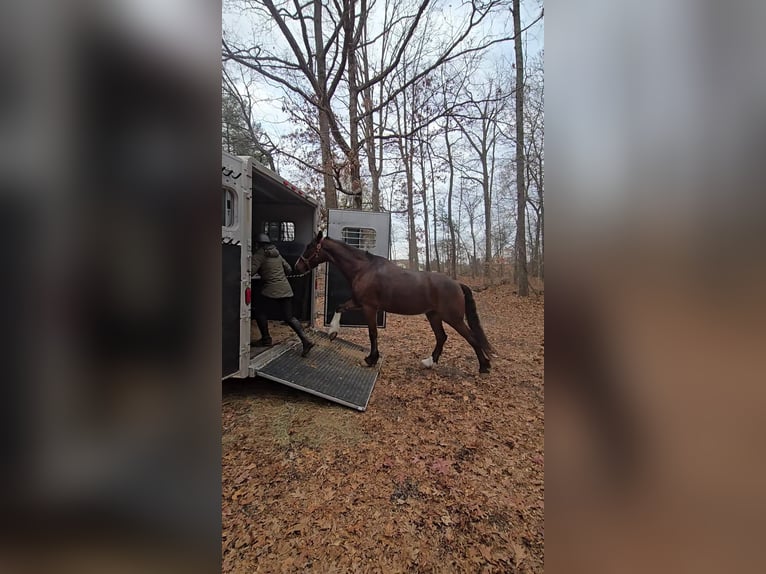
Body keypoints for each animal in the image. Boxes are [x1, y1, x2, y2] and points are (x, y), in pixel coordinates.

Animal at [295, 231, 495, 373]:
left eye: (309, 248)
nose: (297, 266)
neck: (364, 269)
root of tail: (457, 284)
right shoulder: (359, 302)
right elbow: (339, 307)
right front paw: (333, 332)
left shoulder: (369, 307)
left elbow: (373, 334)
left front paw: (371, 359)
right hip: (434, 316)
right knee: (441, 337)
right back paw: (430, 362)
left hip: (453, 318)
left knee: (471, 337)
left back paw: (484, 366)